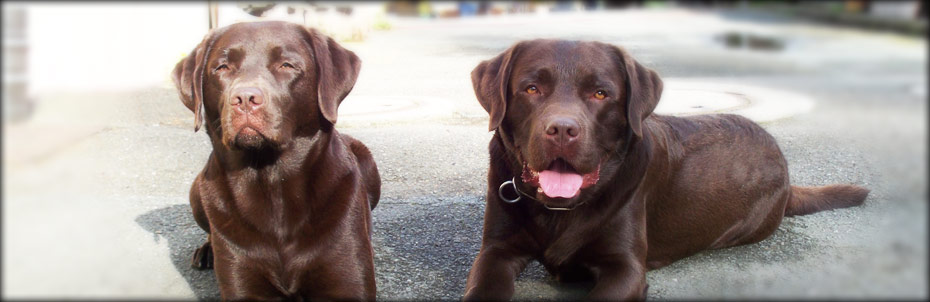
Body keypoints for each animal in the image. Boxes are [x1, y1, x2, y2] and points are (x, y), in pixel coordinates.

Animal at [172, 21, 378, 300]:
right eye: (222, 67)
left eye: (287, 65)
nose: (244, 99)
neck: (272, 179)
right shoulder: (243, 286)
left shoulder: (348, 280)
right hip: (198, 190)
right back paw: (207, 251)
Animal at [460, 39, 868, 300]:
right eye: (531, 88)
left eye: (600, 94)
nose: (562, 129)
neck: (560, 209)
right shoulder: (496, 250)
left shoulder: (625, 269)